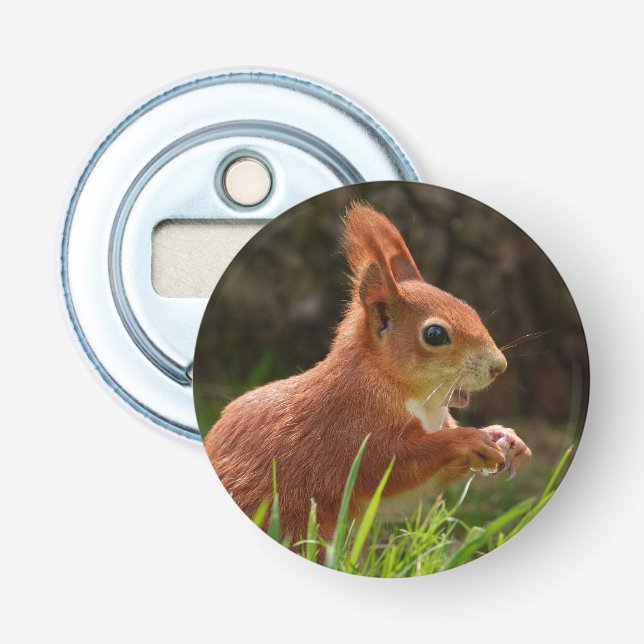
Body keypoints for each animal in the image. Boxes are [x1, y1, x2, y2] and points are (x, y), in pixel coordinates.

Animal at [205, 201, 531, 542]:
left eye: (470, 308)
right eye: (435, 335)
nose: (499, 366)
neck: (412, 395)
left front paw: (507, 438)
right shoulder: (350, 429)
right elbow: (391, 464)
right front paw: (467, 439)